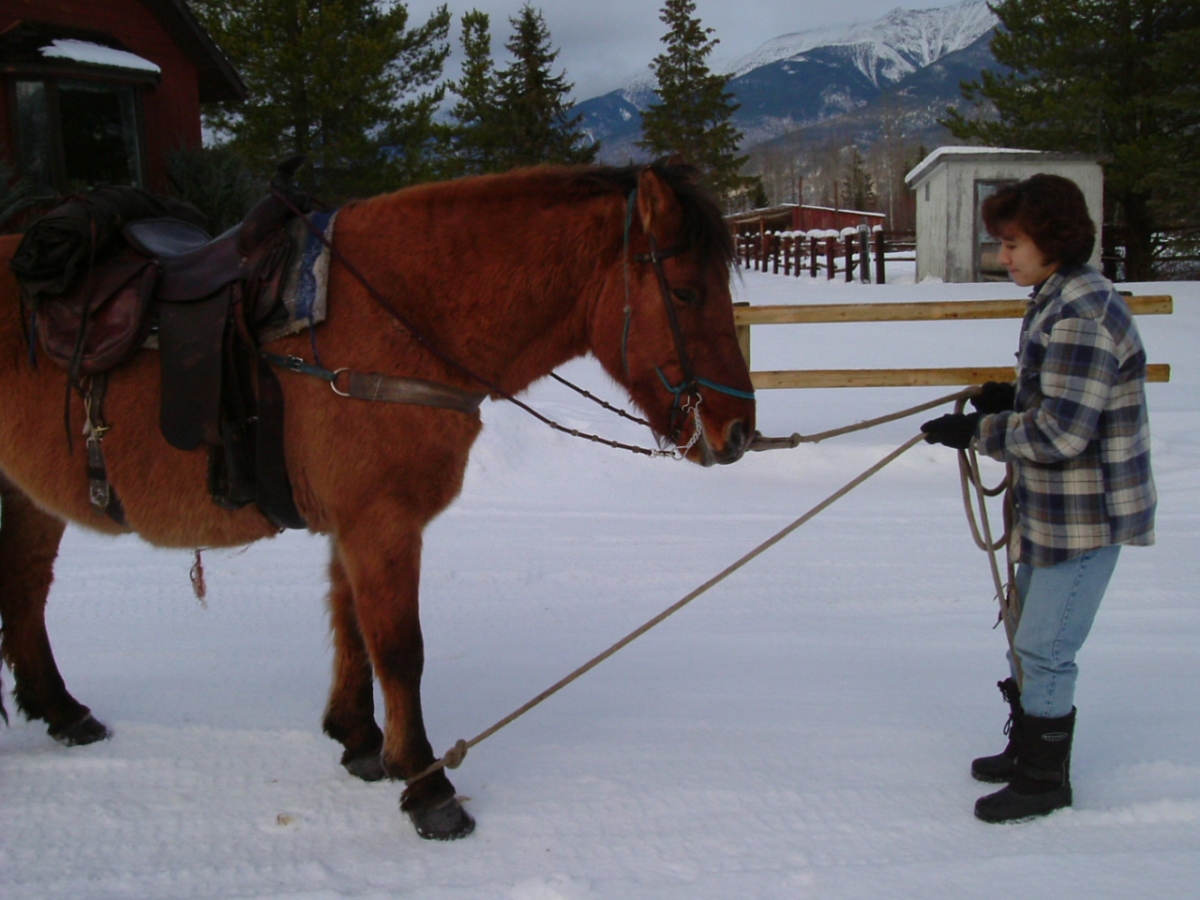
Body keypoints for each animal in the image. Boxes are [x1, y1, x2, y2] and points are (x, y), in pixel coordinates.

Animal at [0, 160, 755, 840]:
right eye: (687, 291)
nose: (739, 432)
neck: (401, 320)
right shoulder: (381, 523)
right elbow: (399, 648)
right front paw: (427, 786)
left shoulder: (357, 524)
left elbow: (351, 627)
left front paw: (360, 740)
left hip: (27, 496)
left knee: (26, 591)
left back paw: (61, 711)